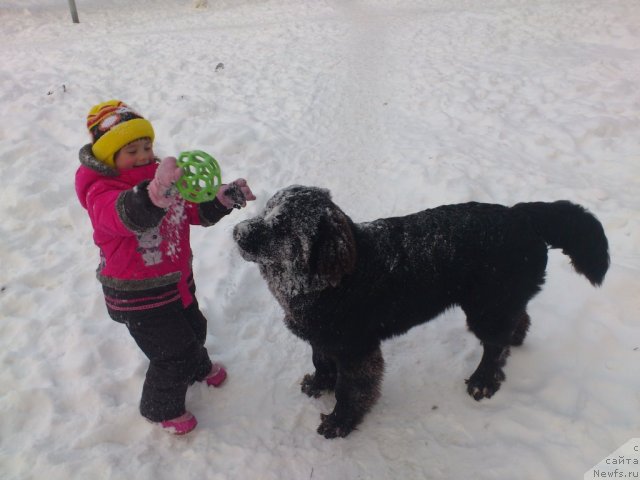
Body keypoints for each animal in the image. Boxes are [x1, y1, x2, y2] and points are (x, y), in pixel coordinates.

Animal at [232, 187, 608, 438]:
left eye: (282, 225)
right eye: (266, 210)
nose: (236, 232)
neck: (334, 279)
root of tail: (522, 215)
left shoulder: (357, 351)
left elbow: (350, 391)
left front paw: (340, 422)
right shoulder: (321, 337)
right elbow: (321, 361)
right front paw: (318, 383)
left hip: (486, 307)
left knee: (493, 346)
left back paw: (483, 381)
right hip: (499, 303)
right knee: (517, 321)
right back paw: (514, 342)